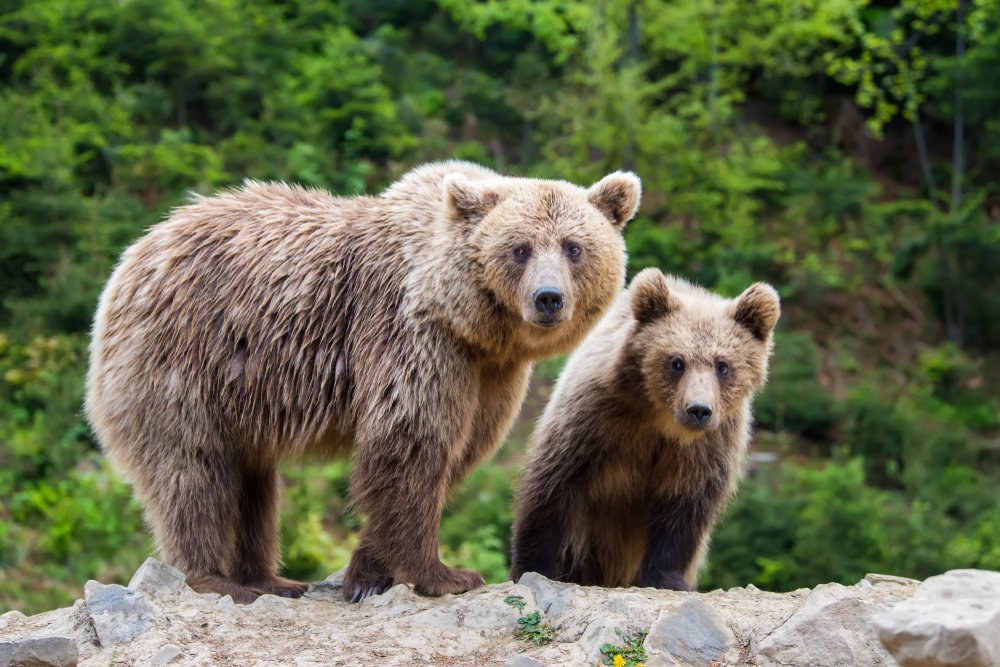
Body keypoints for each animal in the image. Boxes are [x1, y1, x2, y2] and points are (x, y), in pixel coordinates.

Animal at [85, 160, 641, 603]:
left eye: (573, 247)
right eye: (520, 248)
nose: (548, 298)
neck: (470, 321)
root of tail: (132, 257)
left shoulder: (489, 372)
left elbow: (456, 451)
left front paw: (366, 574)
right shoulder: (412, 334)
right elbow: (409, 442)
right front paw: (447, 574)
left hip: (239, 398)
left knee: (252, 482)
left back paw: (271, 579)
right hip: (183, 362)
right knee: (194, 470)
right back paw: (216, 579)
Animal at [509, 268, 780, 590]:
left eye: (723, 365)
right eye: (677, 361)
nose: (699, 410)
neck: (660, 421)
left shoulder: (708, 446)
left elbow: (684, 510)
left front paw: (666, 578)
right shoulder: (594, 419)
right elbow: (553, 485)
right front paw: (533, 567)